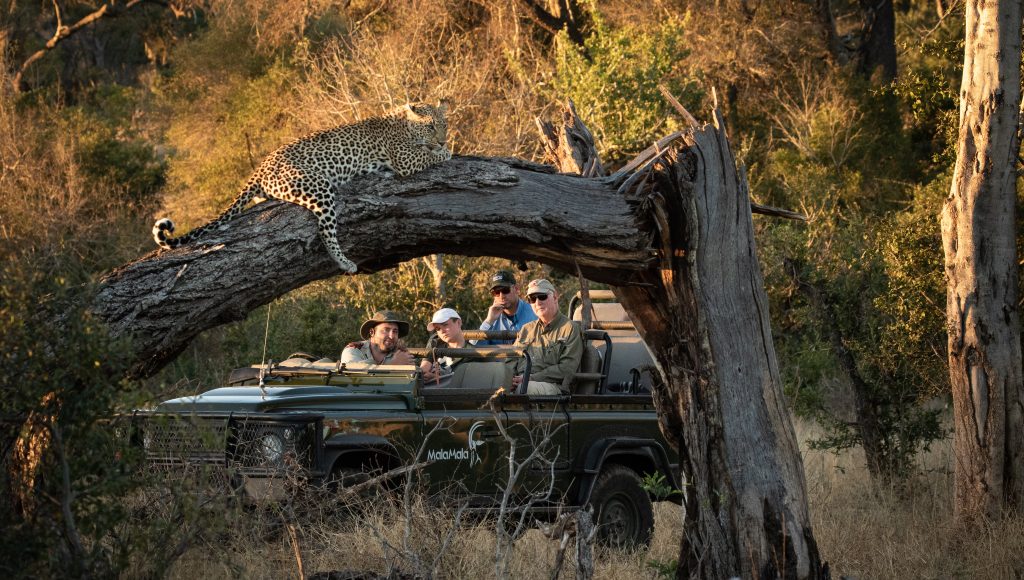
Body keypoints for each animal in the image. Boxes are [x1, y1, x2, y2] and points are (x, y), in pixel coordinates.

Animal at [152, 102, 452, 273]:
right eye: (430, 126)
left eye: (444, 124)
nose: (442, 138)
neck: (404, 124)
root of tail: (260, 167)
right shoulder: (405, 159)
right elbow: (430, 155)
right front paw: (447, 151)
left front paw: (446, 147)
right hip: (318, 187)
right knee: (325, 231)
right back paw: (345, 262)